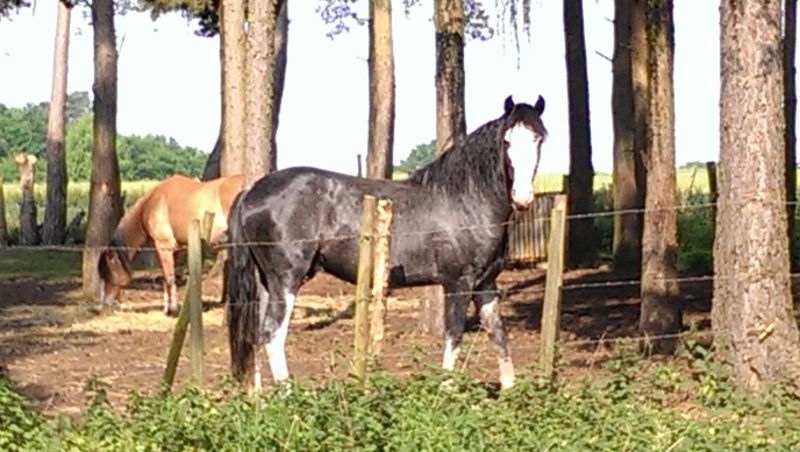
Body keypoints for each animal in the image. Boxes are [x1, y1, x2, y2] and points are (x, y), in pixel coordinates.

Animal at [98, 173, 241, 314]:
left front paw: (172, 309)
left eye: (107, 273)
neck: (152, 202)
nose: (105, 303)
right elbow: (168, 276)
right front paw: (168, 307)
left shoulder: (164, 247)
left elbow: (169, 277)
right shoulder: (173, 250)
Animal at [228, 95, 548, 388]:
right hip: (287, 280)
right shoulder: (458, 283)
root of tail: (252, 191)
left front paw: (510, 392)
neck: (464, 199)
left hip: (268, 282)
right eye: (506, 142)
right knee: (273, 334)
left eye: (539, 138)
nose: (523, 198)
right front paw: (447, 393)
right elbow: (454, 336)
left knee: (257, 334)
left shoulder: (485, 284)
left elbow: (499, 335)